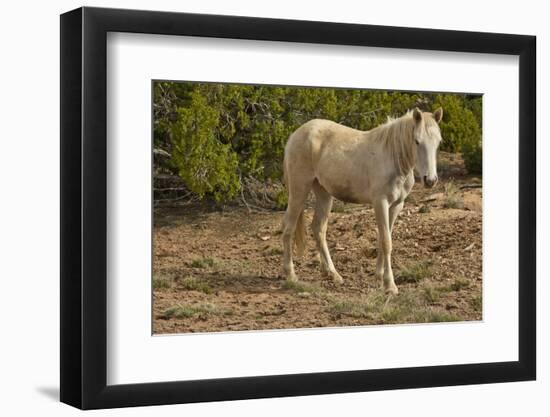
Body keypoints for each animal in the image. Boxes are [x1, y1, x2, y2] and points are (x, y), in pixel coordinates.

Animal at [282, 109, 446, 294]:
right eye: (417, 141)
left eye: (438, 142)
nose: (430, 180)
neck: (393, 157)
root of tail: (295, 134)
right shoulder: (380, 203)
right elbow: (386, 242)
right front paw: (390, 285)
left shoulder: (396, 206)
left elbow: (384, 239)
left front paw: (379, 276)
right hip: (299, 190)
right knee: (288, 228)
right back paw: (291, 275)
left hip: (323, 193)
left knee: (318, 229)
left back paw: (333, 274)